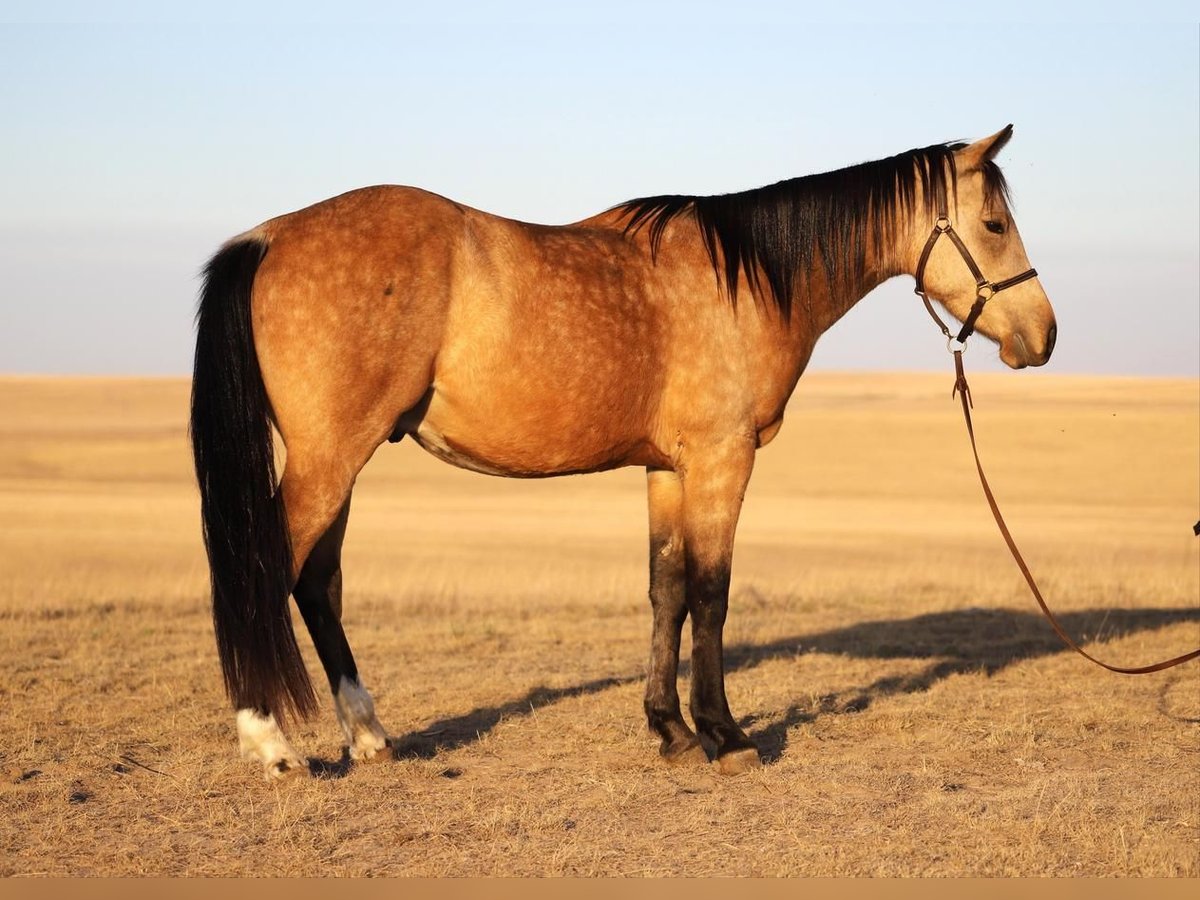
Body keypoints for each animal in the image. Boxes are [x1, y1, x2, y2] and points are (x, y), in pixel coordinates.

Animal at [189, 123, 1060, 777]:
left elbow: (665, 590)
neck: (746, 279)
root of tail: (268, 237)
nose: (1043, 336)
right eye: (994, 224)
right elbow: (711, 591)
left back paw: (369, 736)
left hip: (339, 462)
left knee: (316, 584)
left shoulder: (667, 468)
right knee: (268, 571)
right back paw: (271, 744)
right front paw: (726, 735)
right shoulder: (720, 460)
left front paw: (669, 729)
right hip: (331, 458)